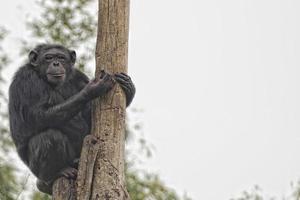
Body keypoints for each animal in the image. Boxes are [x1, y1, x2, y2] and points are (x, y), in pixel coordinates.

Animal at [8, 43, 135, 194]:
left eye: (61, 57)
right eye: (48, 57)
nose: (56, 63)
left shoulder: (78, 76)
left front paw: (129, 88)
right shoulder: (27, 78)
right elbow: (37, 116)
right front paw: (92, 88)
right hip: (36, 171)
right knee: (48, 137)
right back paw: (57, 172)